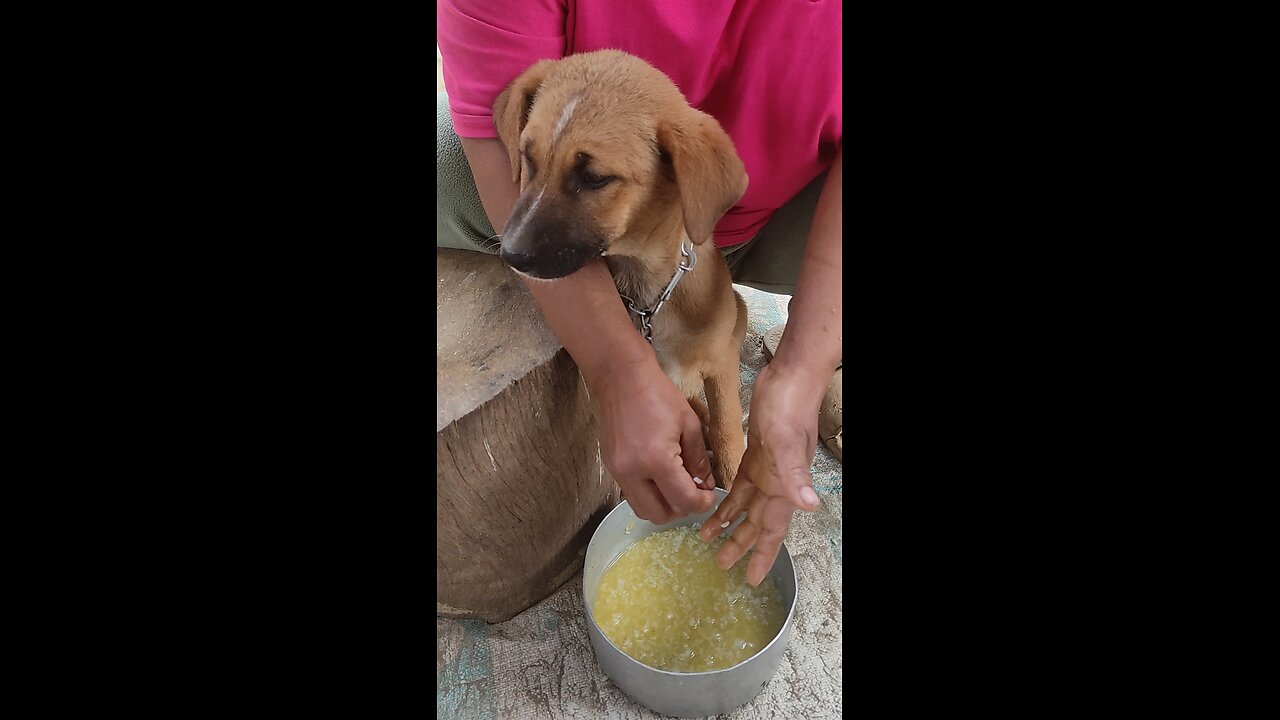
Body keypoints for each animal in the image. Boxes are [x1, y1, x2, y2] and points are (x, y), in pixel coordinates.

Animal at [488, 49, 747, 486]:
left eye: (595, 178)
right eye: (527, 157)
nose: (511, 255)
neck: (650, 297)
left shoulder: (722, 360)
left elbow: (728, 427)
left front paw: (735, 478)